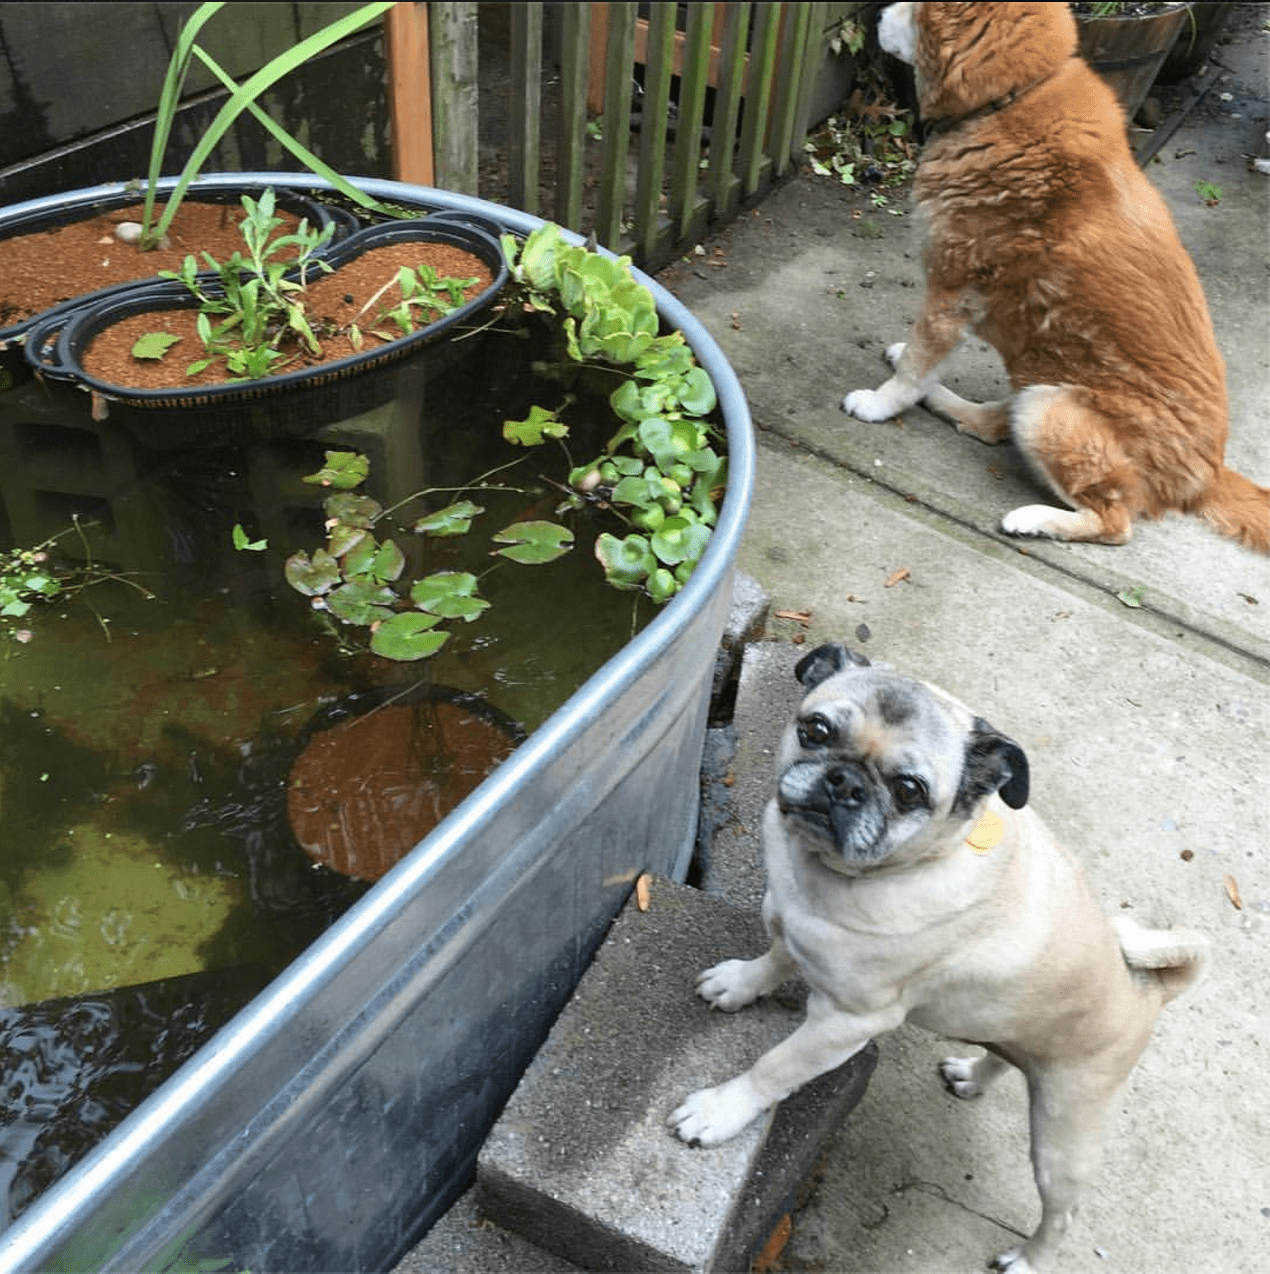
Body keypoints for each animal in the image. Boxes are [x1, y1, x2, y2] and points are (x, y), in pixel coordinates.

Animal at [667, 647, 1202, 1274]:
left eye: (909, 789)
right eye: (816, 730)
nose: (844, 781)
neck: (835, 875)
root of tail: (1148, 990)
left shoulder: (843, 1024)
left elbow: (773, 1068)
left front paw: (721, 1109)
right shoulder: (788, 918)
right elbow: (776, 957)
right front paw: (741, 983)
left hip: (1064, 1135)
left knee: (1063, 1212)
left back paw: (1030, 1258)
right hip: (1014, 1034)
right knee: (1006, 1055)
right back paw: (973, 1074)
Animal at [840, 4, 1268, 552]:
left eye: (913, 9)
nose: (875, 14)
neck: (1016, 95)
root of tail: (1208, 477)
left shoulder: (951, 291)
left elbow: (916, 366)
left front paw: (880, 404)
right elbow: (919, 365)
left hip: (1053, 409)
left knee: (1115, 523)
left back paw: (1034, 519)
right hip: (1040, 389)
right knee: (995, 422)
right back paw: (945, 401)